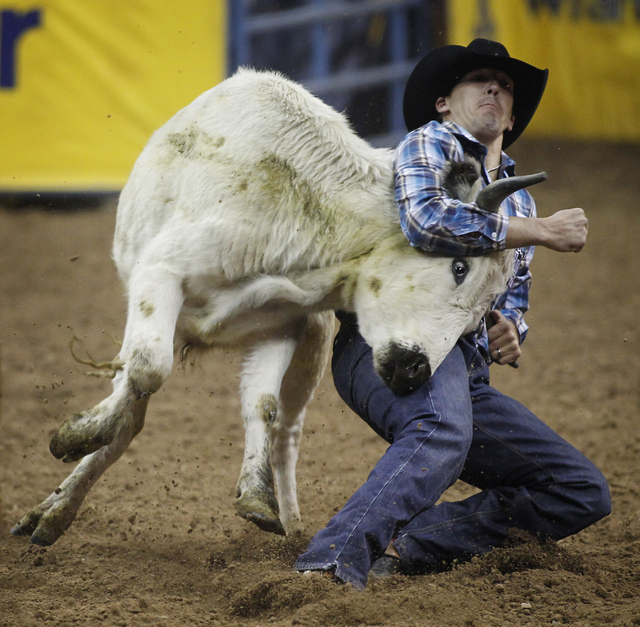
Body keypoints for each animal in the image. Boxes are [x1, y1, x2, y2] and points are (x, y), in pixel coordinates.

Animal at [11, 69, 545, 546]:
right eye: (459, 266)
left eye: (482, 316)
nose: (415, 371)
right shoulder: (160, 271)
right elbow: (147, 371)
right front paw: (74, 436)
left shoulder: (284, 324)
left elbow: (261, 406)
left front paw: (256, 497)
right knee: (133, 404)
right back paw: (55, 506)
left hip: (312, 346)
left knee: (286, 429)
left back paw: (286, 522)